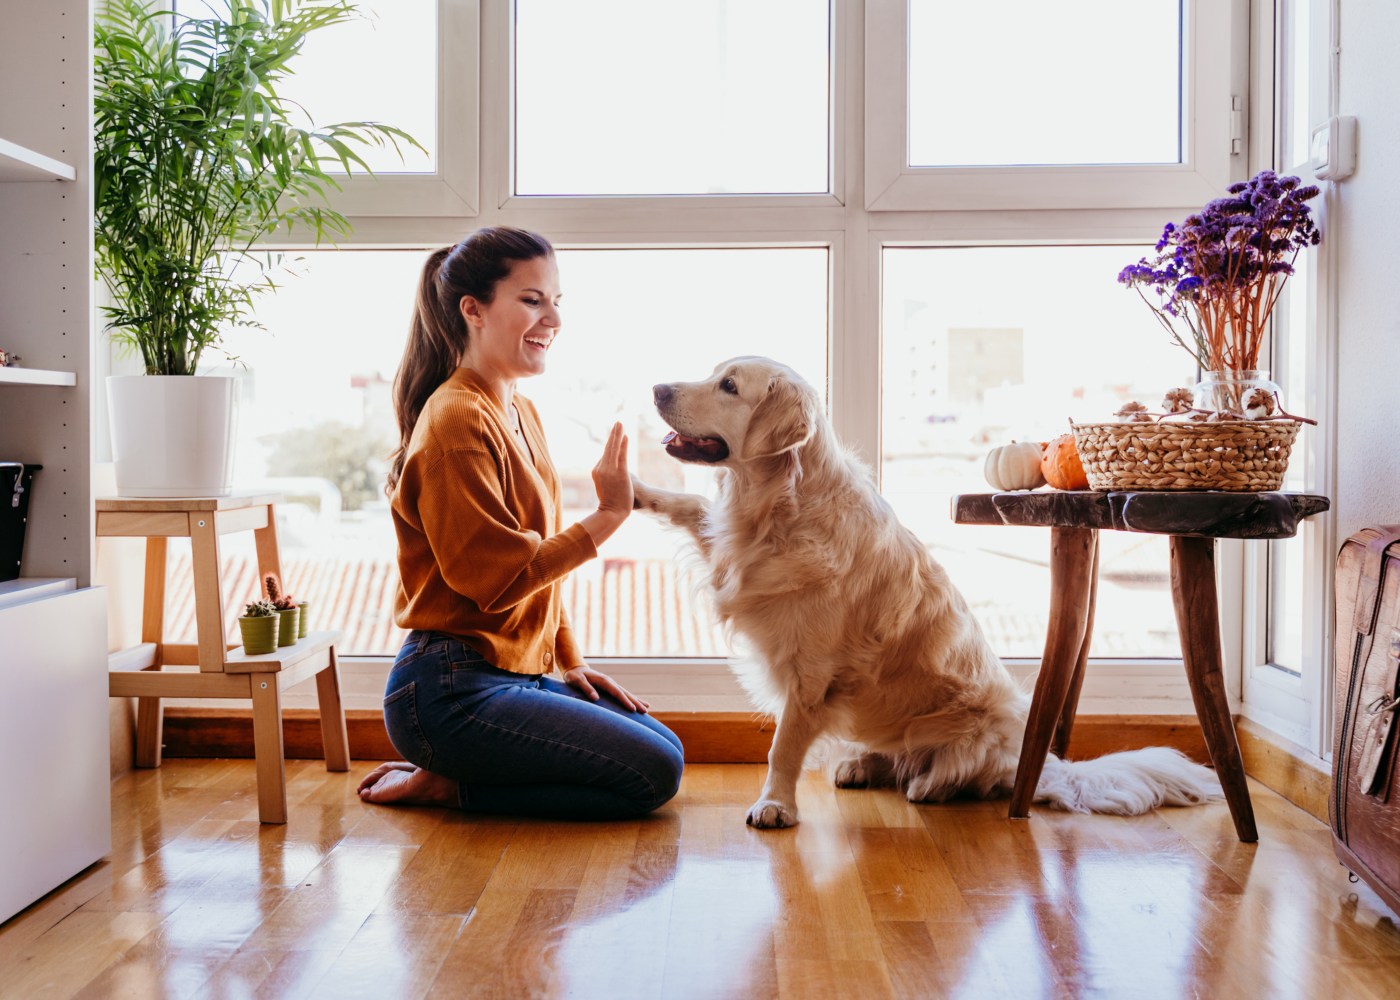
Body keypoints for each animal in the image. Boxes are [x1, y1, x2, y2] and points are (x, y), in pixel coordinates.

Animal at [630, 358, 1220, 823]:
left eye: (729, 385)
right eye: (713, 373)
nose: (656, 388)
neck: (777, 506)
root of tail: (1039, 763)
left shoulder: (811, 673)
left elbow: (783, 747)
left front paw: (775, 805)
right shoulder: (731, 551)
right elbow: (691, 507)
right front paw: (633, 489)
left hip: (984, 723)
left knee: (964, 774)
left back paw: (929, 785)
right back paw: (862, 765)